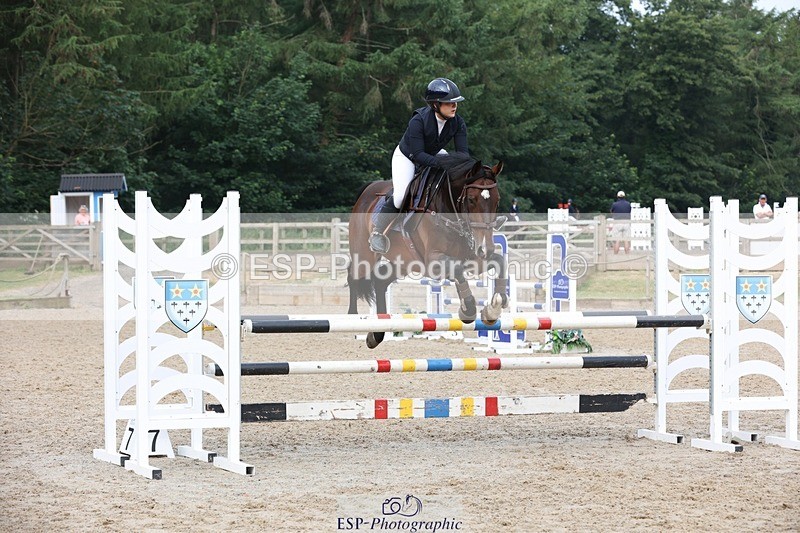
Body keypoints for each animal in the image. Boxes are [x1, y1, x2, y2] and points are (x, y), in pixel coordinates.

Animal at [347, 153, 509, 348]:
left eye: (497, 201)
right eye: (471, 199)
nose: (485, 248)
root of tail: (367, 190)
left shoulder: (471, 258)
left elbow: (499, 261)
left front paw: (493, 310)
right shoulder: (434, 259)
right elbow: (457, 270)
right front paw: (468, 310)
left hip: (405, 263)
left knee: (380, 282)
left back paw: (376, 334)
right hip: (365, 255)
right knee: (353, 277)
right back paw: (352, 319)